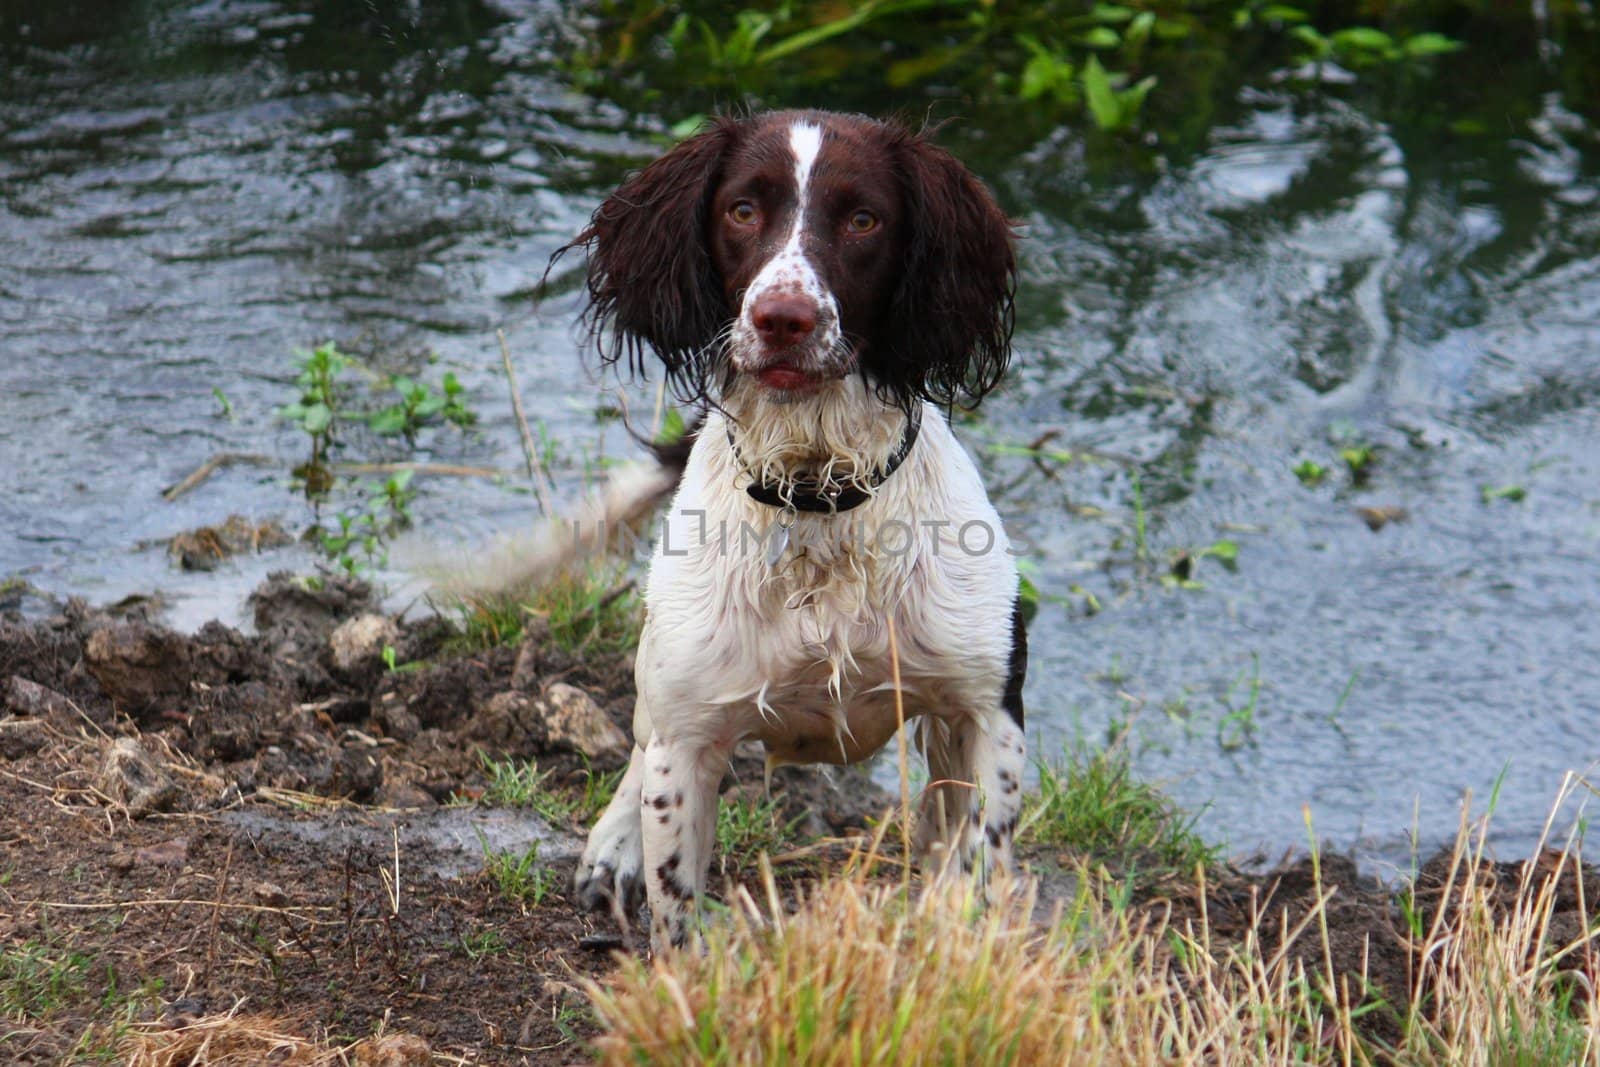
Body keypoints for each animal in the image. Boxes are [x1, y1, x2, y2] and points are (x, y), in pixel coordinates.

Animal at [556, 110, 1024, 953]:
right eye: (742, 209)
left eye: (865, 219)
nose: (783, 318)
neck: (817, 500)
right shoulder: (687, 737)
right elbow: (677, 904)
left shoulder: (988, 704)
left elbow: (978, 863)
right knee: (640, 737)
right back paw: (614, 844)